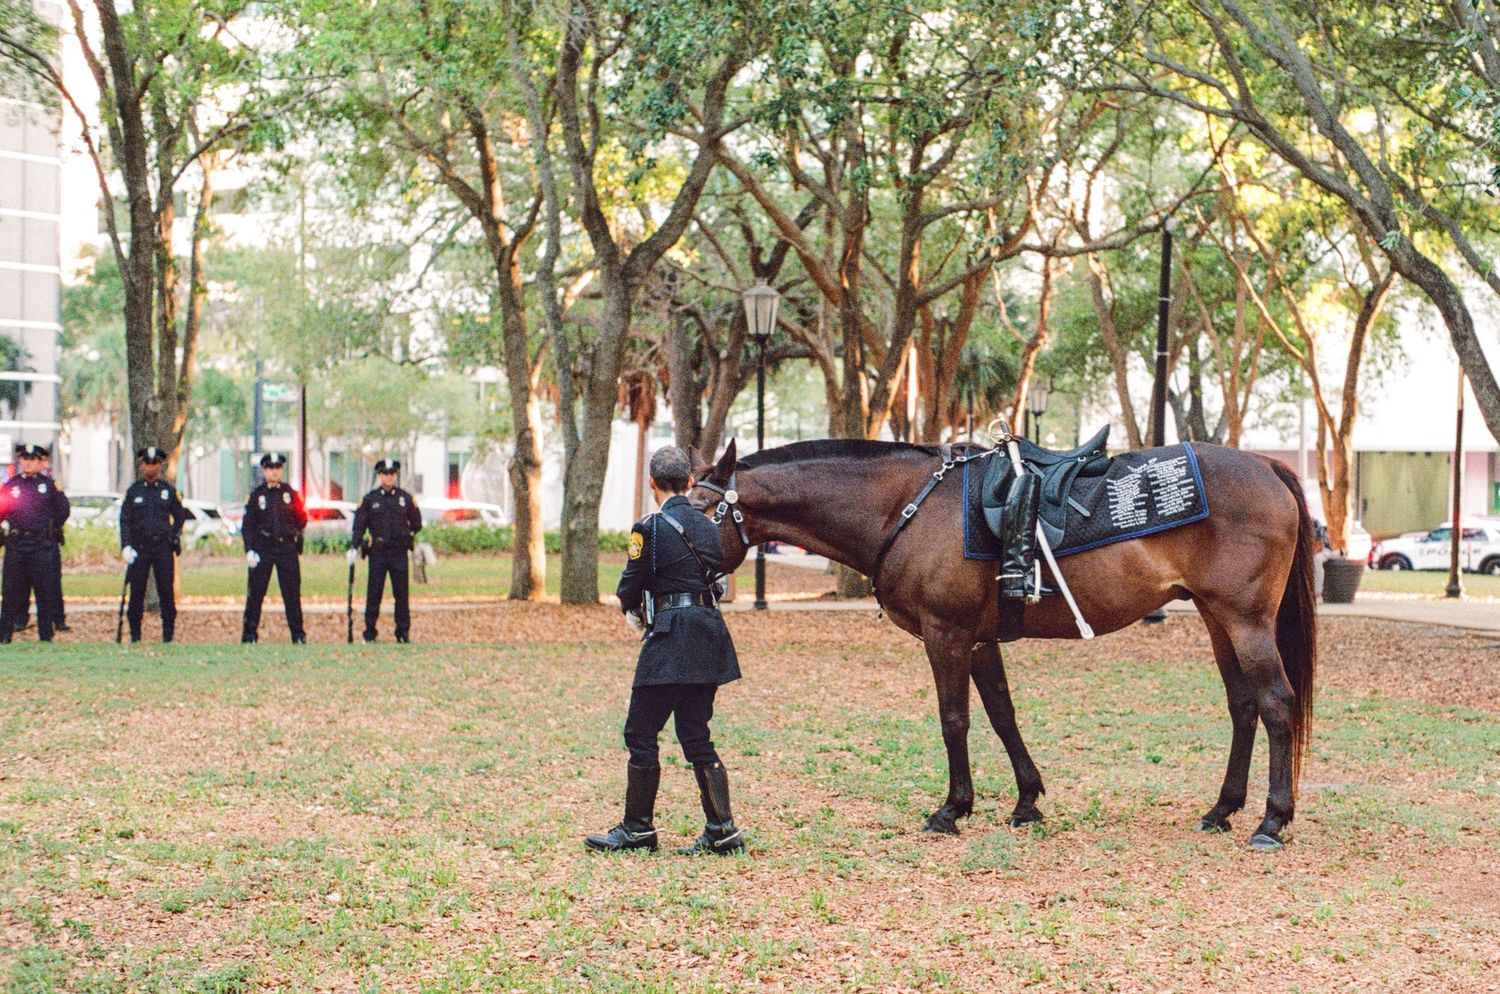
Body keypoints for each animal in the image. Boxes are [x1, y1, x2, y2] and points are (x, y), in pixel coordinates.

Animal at [687, 436, 1317, 851]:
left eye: (697, 510)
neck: (910, 506)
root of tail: (1264, 465)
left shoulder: (946, 633)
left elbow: (955, 719)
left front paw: (952, 808)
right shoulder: (980, 639)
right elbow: (1001, 714)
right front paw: (1026, 801)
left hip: (1246, 620)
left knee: (1276, 704)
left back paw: (1272, 821)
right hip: (1217, 618)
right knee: (1243, 707)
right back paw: (1223, 808)